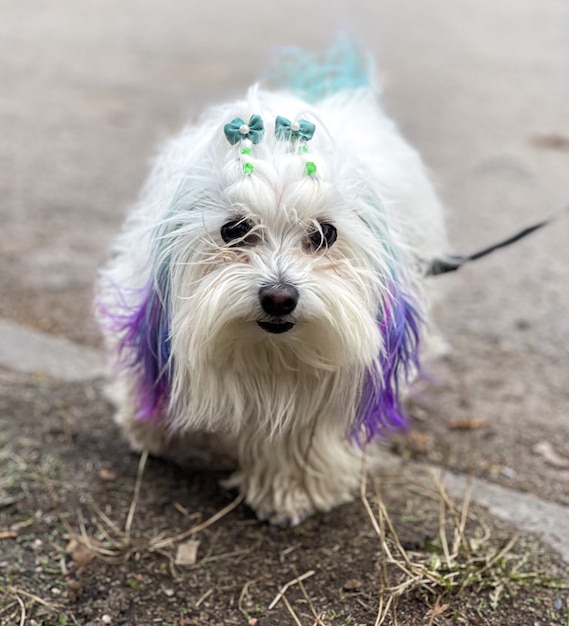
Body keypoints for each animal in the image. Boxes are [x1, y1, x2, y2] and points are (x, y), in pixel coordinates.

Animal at [95, 41, 446, 524]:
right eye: (235, 230)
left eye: (323, 235)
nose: (279, 297)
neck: (269, 353)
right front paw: (146, 426)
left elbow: (302, 428)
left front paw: (290, 489)